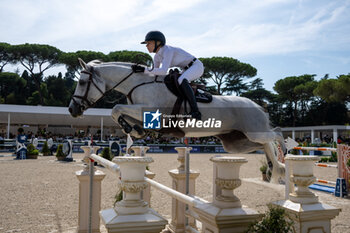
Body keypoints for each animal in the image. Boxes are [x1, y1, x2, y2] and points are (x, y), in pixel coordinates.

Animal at [69, 59, 288, 183]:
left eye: (82, 82)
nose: (72, 109)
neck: (137, 84)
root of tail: (258, 106)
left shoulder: (151, 111)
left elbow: (115, 108)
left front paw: (133, 129)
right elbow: (118, 112)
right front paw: (135, 129)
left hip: (254, 131)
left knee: (276, 133)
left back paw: (283, 155)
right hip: (237, 143)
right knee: (265, 145)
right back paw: (275, 169)